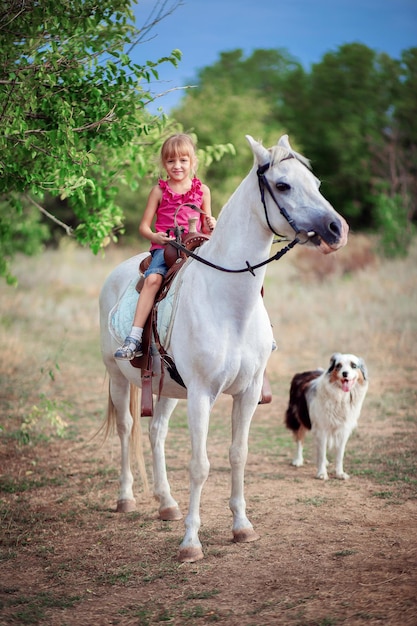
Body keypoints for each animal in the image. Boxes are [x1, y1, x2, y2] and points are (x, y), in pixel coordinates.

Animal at [98, 135, 348, 560]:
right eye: (283, 185)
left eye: (315, 183)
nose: (336, 229)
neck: (229, 305)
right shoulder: (201, 395)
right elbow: (200, 465)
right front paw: (190, 542)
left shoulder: (246, 394)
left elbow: (238, 455)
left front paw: (242, 527)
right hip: (119, 378)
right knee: (128, 428)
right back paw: (126, 498)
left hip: (168, 390)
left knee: (156, 433)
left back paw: (166, 504)